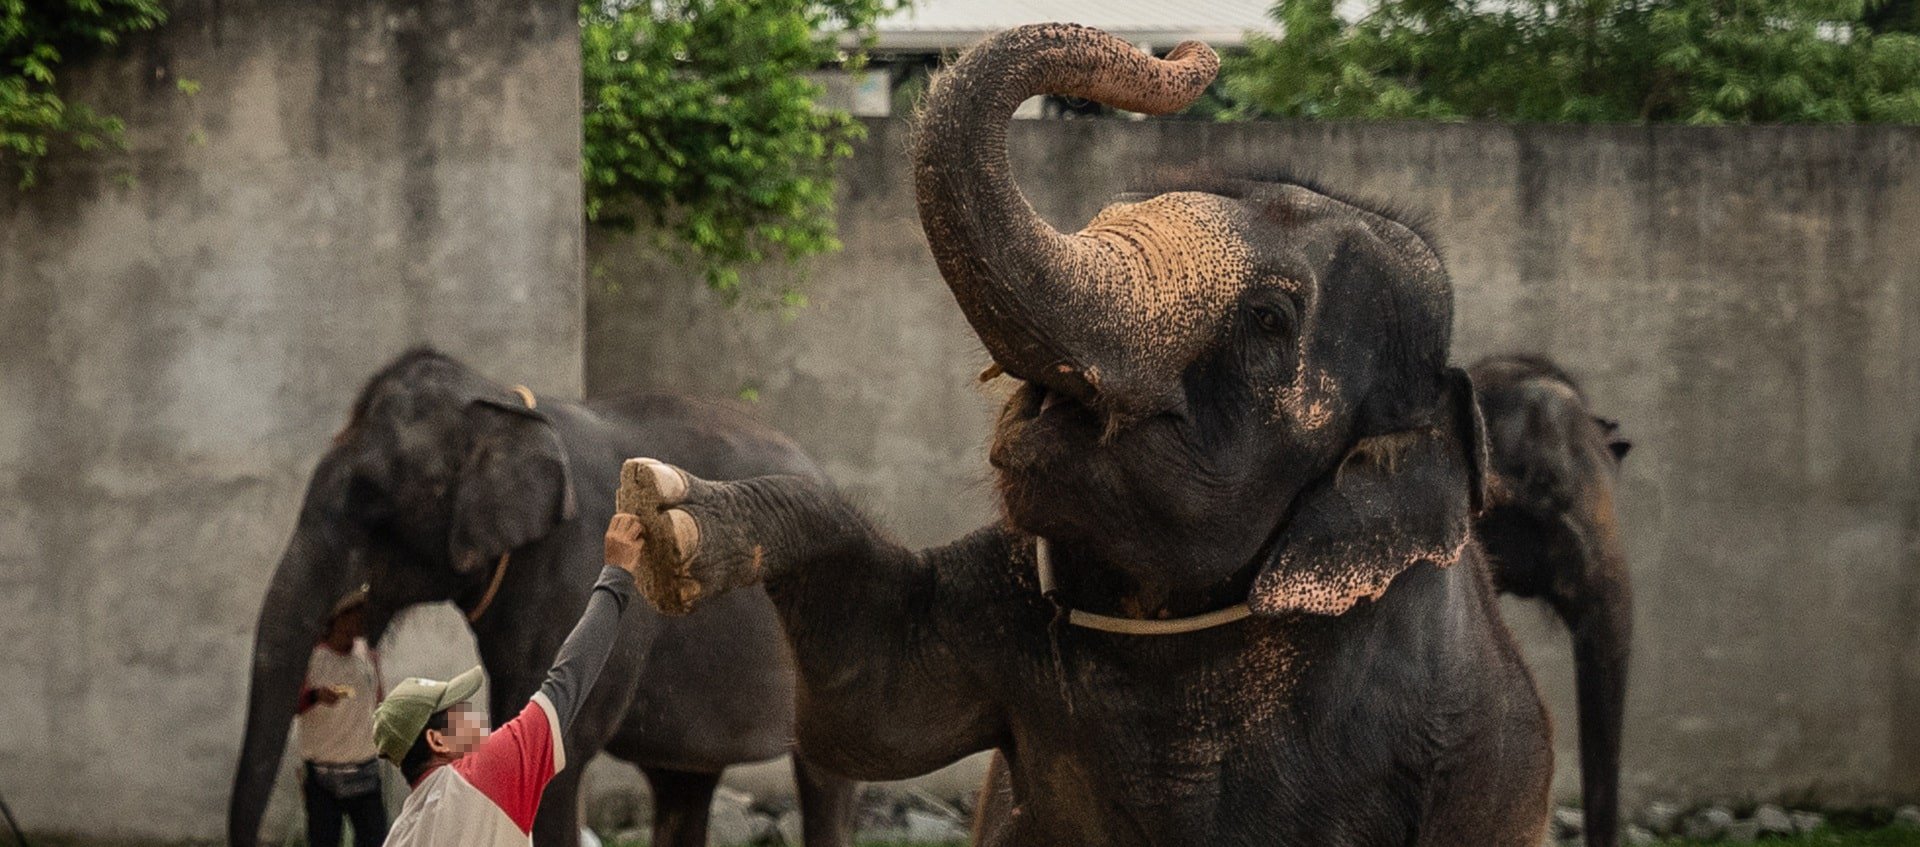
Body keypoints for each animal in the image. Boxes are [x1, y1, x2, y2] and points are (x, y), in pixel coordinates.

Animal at [228, 349, 857, 847]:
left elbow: (559, 740)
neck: (504, 403)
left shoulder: (569, 566)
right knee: (683, 781)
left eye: (372, 504)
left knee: (823, 775)